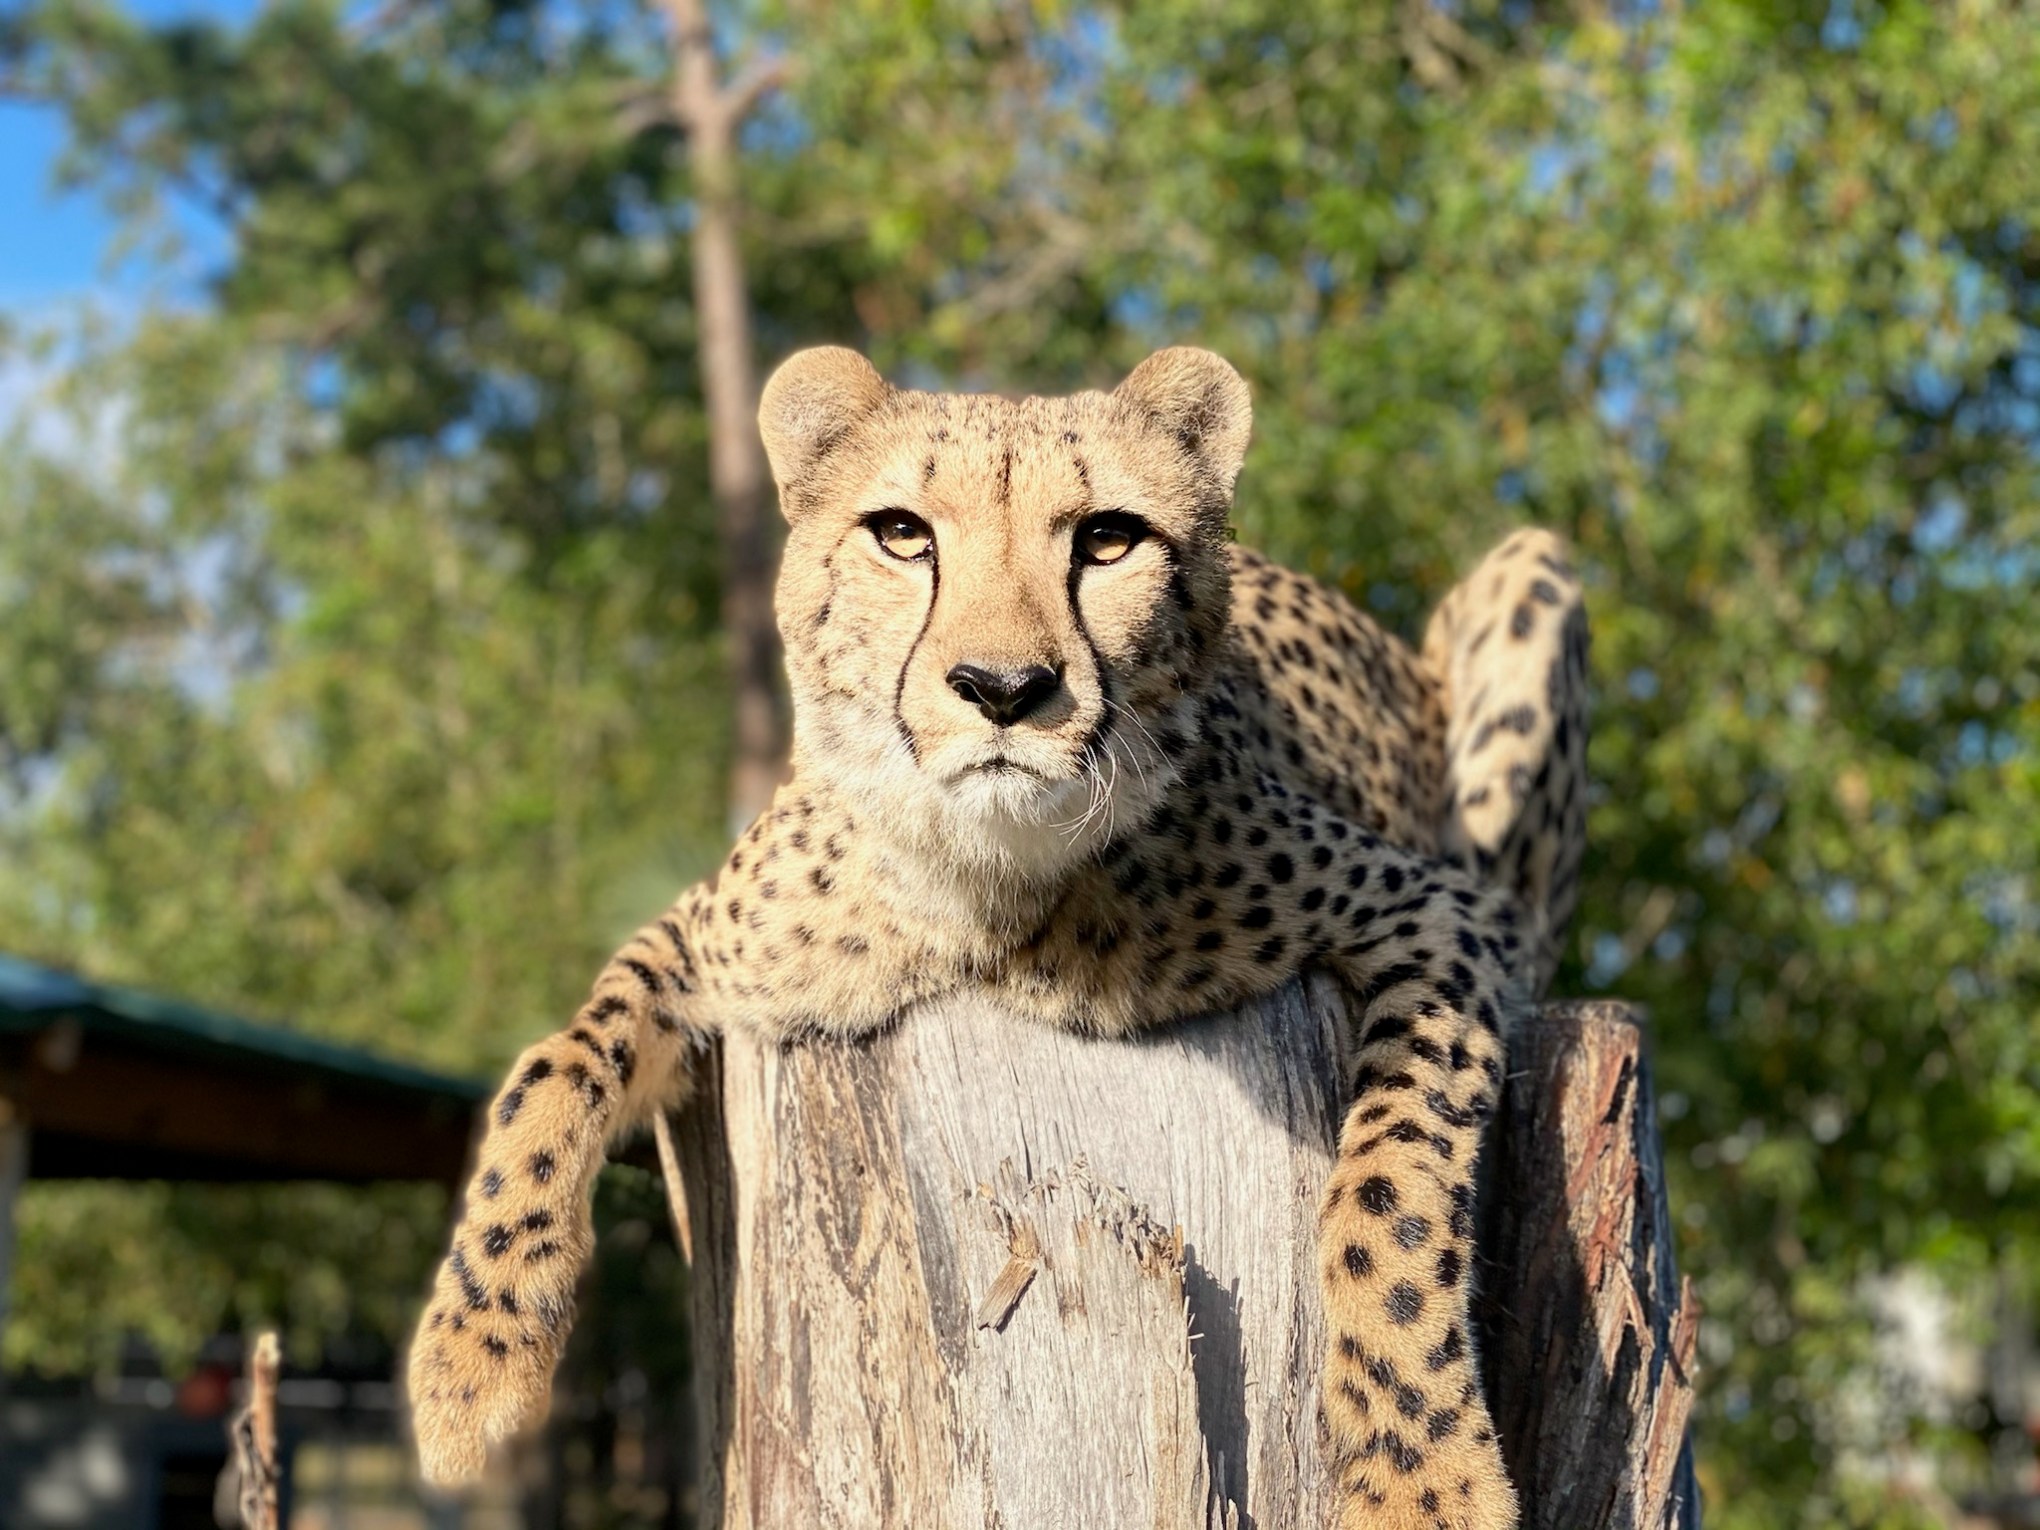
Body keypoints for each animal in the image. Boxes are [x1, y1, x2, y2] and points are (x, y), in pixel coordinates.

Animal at [405, 346, 1591, 1530]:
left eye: (1107, 538)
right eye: (902, 534)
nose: (1005, 690)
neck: (984, 893)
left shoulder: (1443, 917)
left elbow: (1389, 1191)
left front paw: (1424, 1475)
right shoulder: (709, 938)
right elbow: (556, 1060)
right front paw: (472, 1360)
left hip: (1535, 573)